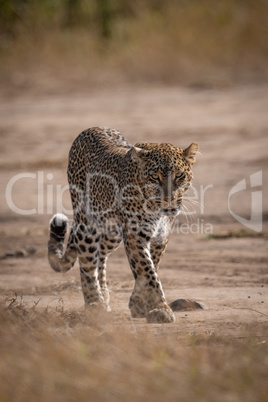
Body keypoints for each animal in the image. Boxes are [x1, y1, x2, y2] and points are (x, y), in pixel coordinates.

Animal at [48, 126, 199, 324]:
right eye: (155, 177)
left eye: (179, 176)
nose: (169, 199)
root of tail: (92, 128)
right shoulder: (135, 236)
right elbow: (148, 272)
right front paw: (160, 308)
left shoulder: (160, 237)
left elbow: (151, 267)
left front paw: (139, 303)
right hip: (87, 224)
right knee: (87, 261)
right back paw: (95, 303)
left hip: (112, 234)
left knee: (100, 255)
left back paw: (104, 296)